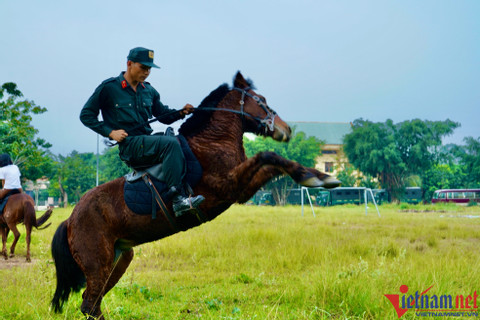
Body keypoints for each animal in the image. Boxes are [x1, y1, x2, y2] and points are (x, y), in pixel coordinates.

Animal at [50, 71, 340, 318]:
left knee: (92, 303)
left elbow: (272, 163)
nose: (286, 129)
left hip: (119, 259)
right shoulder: (229, 186)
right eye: (261, 101)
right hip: (98, 263)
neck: (212, 140)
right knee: (90, 303)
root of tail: (70, 220)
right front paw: (320, 177)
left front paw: (318, 176)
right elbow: (268, 155)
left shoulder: (241, 189)